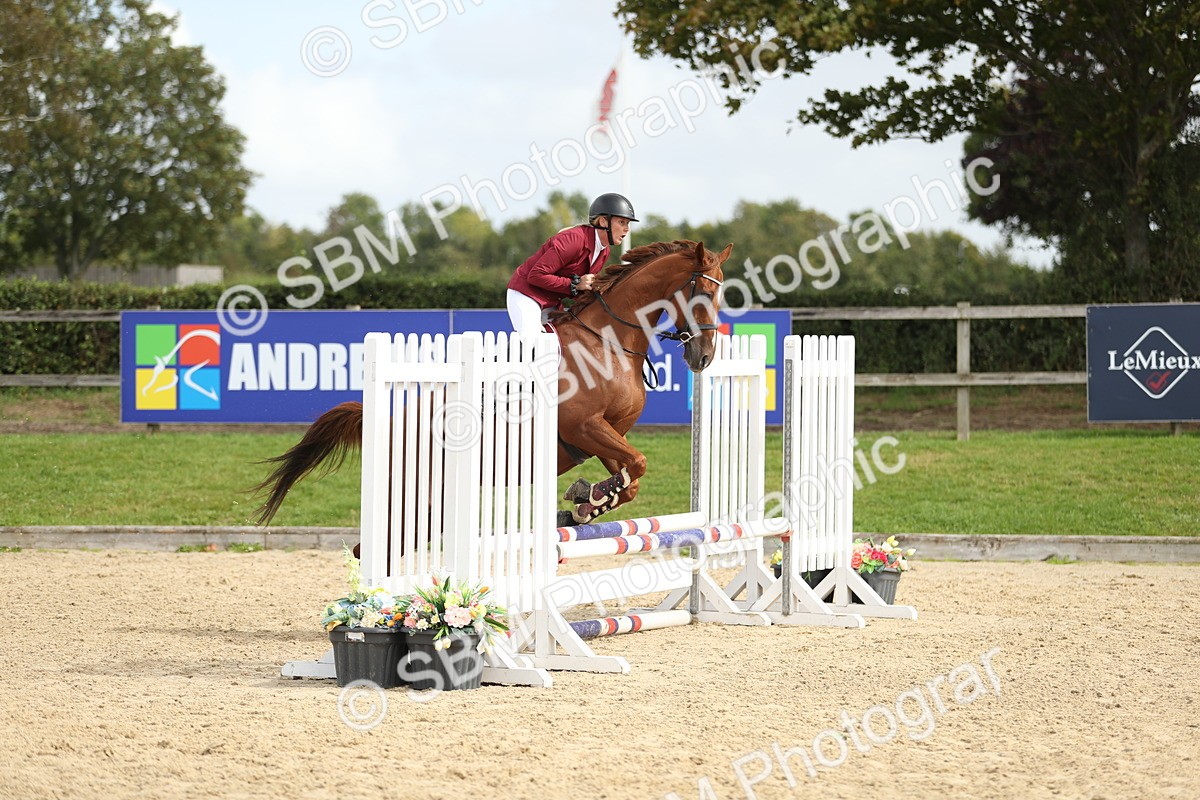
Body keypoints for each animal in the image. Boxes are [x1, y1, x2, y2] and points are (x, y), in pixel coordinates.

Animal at [251, 239, 733, 529]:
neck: (610, 342)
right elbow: (638, 463)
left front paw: (584, 502)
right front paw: (586, 499)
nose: (704, 357)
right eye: (702, 293)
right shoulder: (584, 426)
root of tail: (384, 420)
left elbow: (630, 475)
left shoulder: (605, 434)